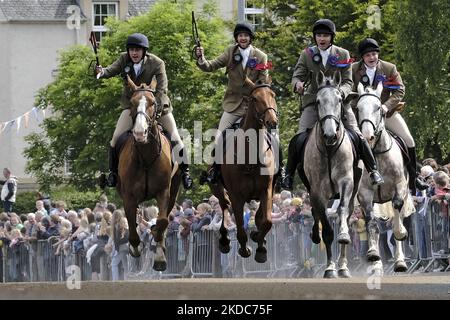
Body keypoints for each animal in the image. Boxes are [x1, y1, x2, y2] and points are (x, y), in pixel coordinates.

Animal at [117, 76, 182, 272]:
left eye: (153, 103)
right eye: (132, 103)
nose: (140, 132)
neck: (146, 156)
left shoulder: (164, 192)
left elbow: (162, 222)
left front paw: (159, 255)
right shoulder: (129, 195)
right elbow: (131, 223)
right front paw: (135, 247)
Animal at [203, 79, 278, 264]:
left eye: (273, 95)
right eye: (255, 98)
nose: (272, 121)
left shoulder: (267, 190)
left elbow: (266, 221)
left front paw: (261, 246)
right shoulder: (236, 195)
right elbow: (240, 228)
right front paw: (245, 249)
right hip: (217, 188)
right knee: (224, 206)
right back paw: (224, 240)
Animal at [302, 70, 362, 278]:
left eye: (339, 100)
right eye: (318, 101)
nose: (330, 135)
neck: (329, 149)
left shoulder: (346, 182)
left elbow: (342, 210)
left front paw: (343, 235)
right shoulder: (317, 192)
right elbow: (327, 230)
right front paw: (329, 268)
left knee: (347, 214)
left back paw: (343, 266)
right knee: (317, 215)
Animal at [356, 81, 414, 274]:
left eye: (378, 108)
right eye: (358, 108)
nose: (368, 136)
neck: (376, 154)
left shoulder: (400, 187)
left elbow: (397, 216)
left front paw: (401, 233)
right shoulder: (365, 194)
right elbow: (371, 224)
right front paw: (373, 255)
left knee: (399, 217)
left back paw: (400, 261)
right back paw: (376, 265)